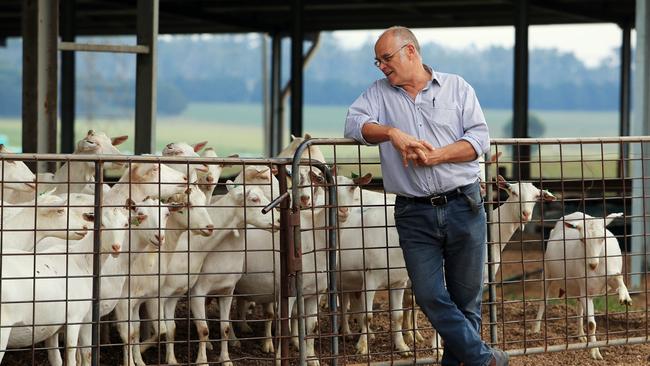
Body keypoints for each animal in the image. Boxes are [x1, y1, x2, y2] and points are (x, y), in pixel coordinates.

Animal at [532, 212, 628, 360]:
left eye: (602, 238)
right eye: (582, 239)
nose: (592, 264)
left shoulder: (608, 275)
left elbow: (618, 278)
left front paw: (625, 297)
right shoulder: (586, 290)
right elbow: (592, 324)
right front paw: (595, 353)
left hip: (578, 284)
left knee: (579, 306)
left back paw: (581, 335)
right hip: (547, 271)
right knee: (544, 300)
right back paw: (536, 329)